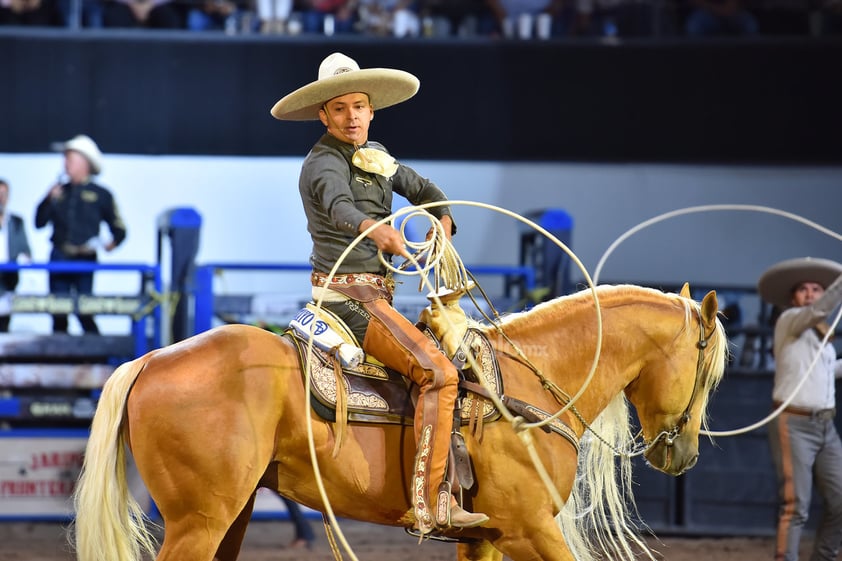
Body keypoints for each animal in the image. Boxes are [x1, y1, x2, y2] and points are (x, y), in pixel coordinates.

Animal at [72, 284, 724, 560]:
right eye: (707, 371)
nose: (685, 453)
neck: (525, 389)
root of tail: (151, 359)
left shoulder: (487, 537)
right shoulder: (530, 529)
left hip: (228, 516)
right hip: (199, 521)